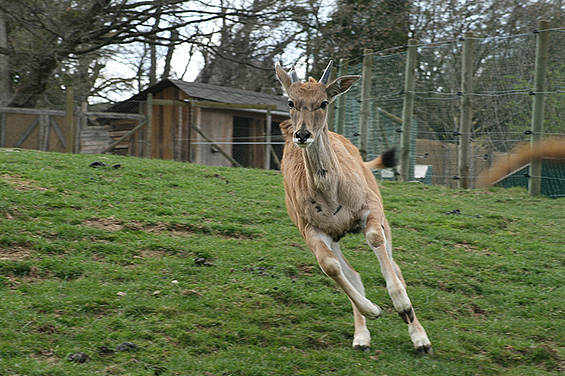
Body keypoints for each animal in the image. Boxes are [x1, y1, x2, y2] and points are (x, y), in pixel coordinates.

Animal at [274, 61, 432, 352]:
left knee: (395, 266)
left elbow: (375, 239)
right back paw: (361, 337)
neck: (330, 196)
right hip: (335, 237)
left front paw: (402, 306)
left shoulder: (371, 210)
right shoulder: (311, 230)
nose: (302, 134)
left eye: (323, 102)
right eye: (291, 101)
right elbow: (330, 267)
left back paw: (420, 338)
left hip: (383, 220)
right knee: (353, 273)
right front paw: (373, 311)